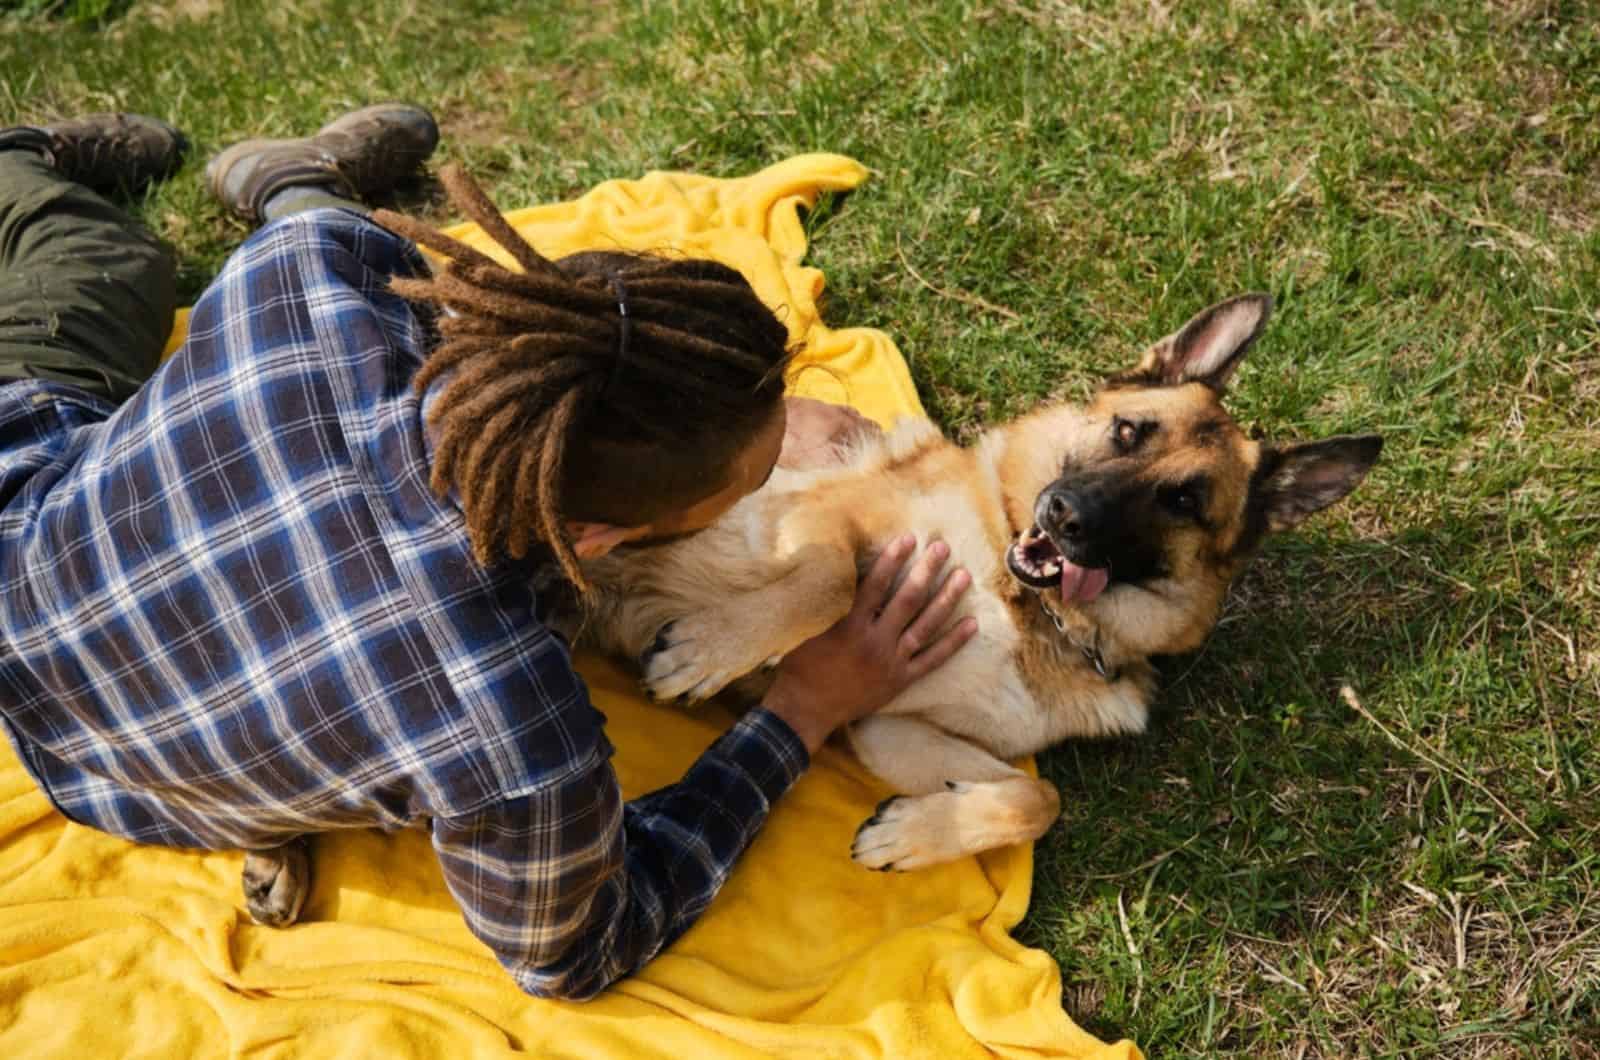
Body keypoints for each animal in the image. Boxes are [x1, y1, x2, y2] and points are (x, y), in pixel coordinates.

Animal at [582, 296, 1382, 871]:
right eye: (1128, 433)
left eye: (1183, 501)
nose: (1064, 515)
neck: (1029, 608)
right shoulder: (819, 518)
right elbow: (832, 583)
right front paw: (708, 653)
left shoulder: (886, 724)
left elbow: (1038, 795)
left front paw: (912, 835)